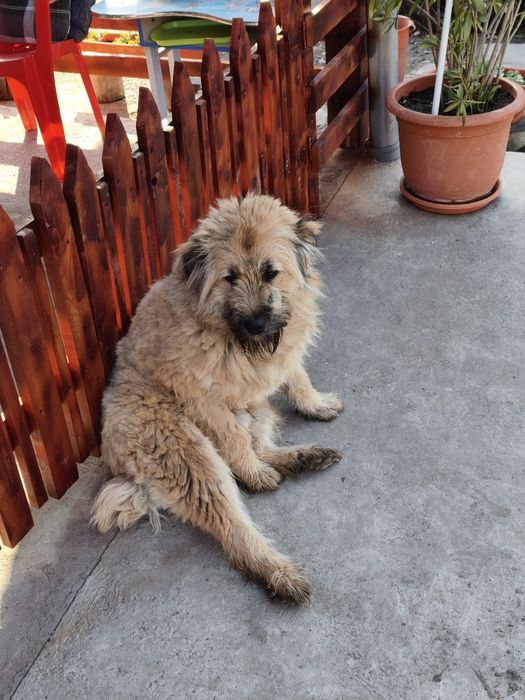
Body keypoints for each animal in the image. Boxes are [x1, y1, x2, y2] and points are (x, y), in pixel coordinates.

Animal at [91, 194, 343, 603]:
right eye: (230, 277)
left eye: (271, 273)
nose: (257, 324)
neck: (231, 333)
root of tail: (121, 467)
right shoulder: (201, 397)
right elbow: (233, 439)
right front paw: (254, 473)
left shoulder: (281, 358)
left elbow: (296, 379)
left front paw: (315, 403)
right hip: (184, 450)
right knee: (231, 518)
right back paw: (277, 569)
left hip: (256, 408)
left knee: (259, 448)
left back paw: (303, 457)